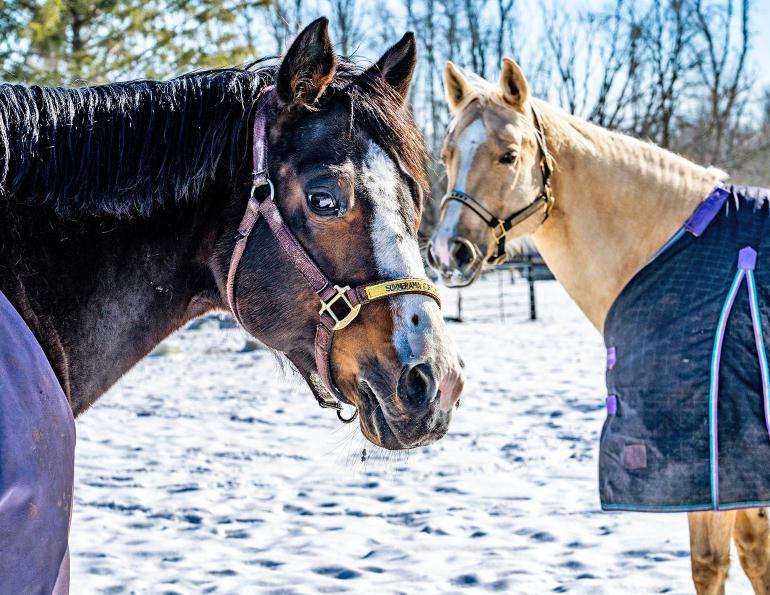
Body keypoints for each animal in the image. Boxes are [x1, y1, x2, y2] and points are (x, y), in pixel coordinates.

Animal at [427, 58, 770, 594]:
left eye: (508, 156)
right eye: (447, 154)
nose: (447, 252)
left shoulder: (714, 466)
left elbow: (711, 564)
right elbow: (756, 557)